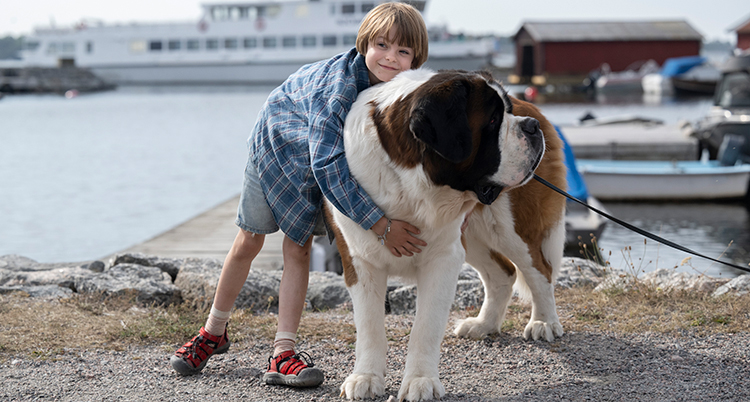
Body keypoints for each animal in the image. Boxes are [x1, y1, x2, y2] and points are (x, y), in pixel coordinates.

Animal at [326, 67, 568, 400]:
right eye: (493, 119)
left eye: (505, 112)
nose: (530, 127)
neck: (411, 182)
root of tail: (532, 106)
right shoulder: (359, 258)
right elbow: (369, 324)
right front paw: (365, 377)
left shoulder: (442, 258)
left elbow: (425, 325)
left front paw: (420, 381)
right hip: (473, 236)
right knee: (503, 274)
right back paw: (483, 324)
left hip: (510, 228)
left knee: (539, 270)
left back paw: (544, 322)